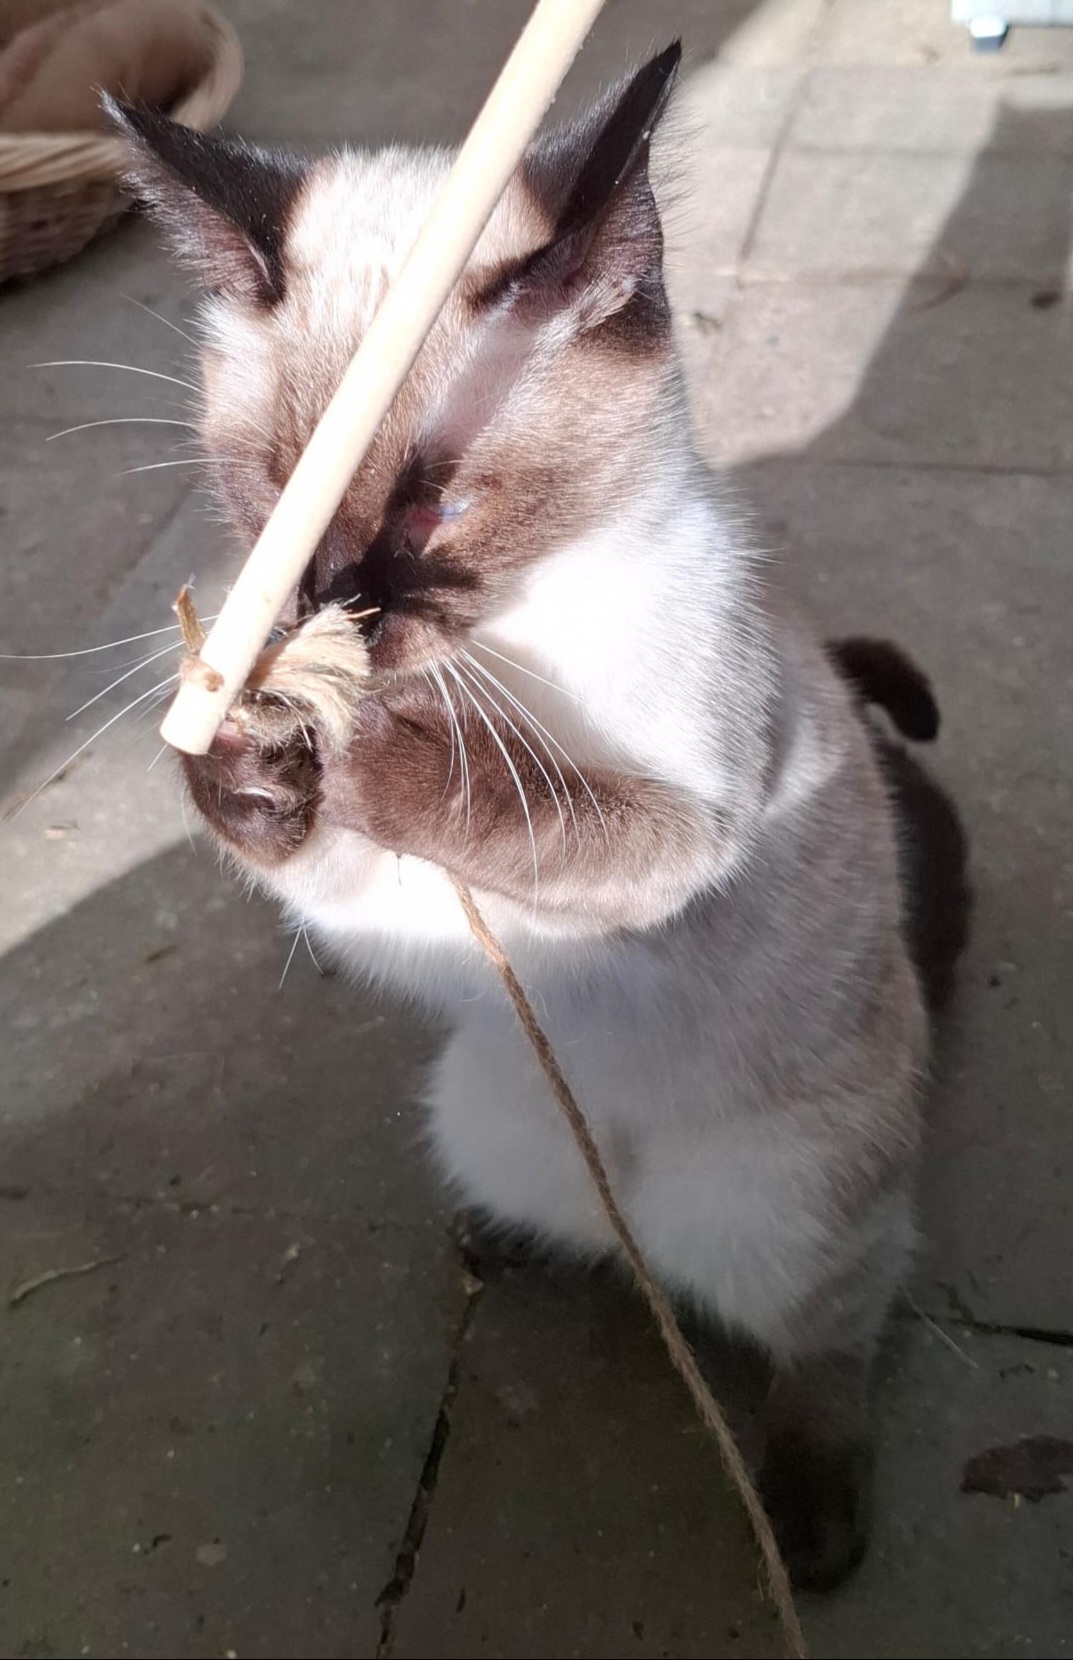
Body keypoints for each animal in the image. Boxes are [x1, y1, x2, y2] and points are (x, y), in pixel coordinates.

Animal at [108, 42, 970, 1591]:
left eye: (438, 510)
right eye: (276, 492)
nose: (329, 613)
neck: (496, 647)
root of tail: (646, 1223)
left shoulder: (677, 828)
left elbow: (505, 795)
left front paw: (363, 739)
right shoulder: (399, 907)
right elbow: (323, 853)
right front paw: (247, 753)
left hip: (804, 1196)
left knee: (833, 1329)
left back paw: (811, 1526)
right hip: (478, 1108)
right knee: (582, 1232)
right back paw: (509, 1242)